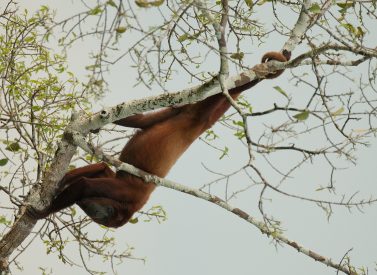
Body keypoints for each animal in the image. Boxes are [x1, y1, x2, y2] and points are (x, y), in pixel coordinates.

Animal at [34, 50, 288, 227]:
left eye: (104, 217)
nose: (95, 213)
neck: (130, 206)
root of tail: (198, 125)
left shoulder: (122, 189)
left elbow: (100, 169)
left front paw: (63, 180)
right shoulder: (128, 192)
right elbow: (85, 186)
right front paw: (42, 212)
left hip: (179, 111)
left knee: (144, 120)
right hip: (197, 115)